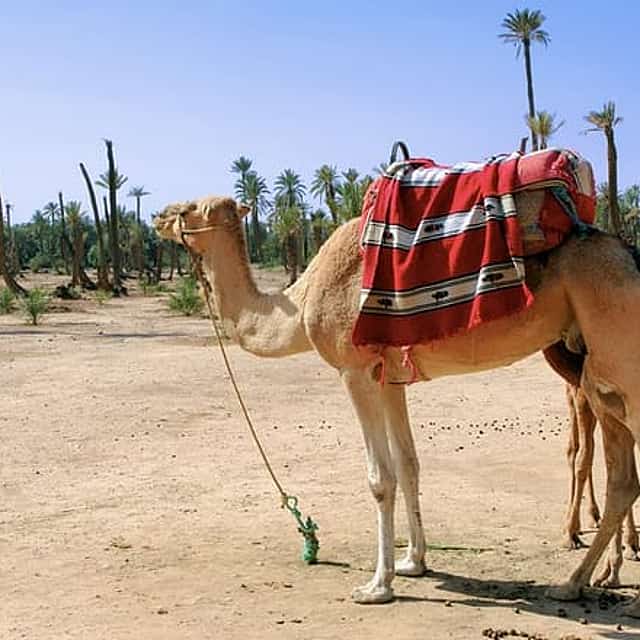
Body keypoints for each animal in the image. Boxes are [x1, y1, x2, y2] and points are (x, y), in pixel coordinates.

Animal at [155, 194, 640, 616]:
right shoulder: (389, 377)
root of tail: (629, 254)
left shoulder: (354, 371)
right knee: (622, 479)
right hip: (599, 376)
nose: (159, 217)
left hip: (619, 359)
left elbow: (380, 479)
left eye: (189, 208)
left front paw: (377, 585)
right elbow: (409, 464)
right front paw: (414, 562)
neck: (304, 298)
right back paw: (575, 582)